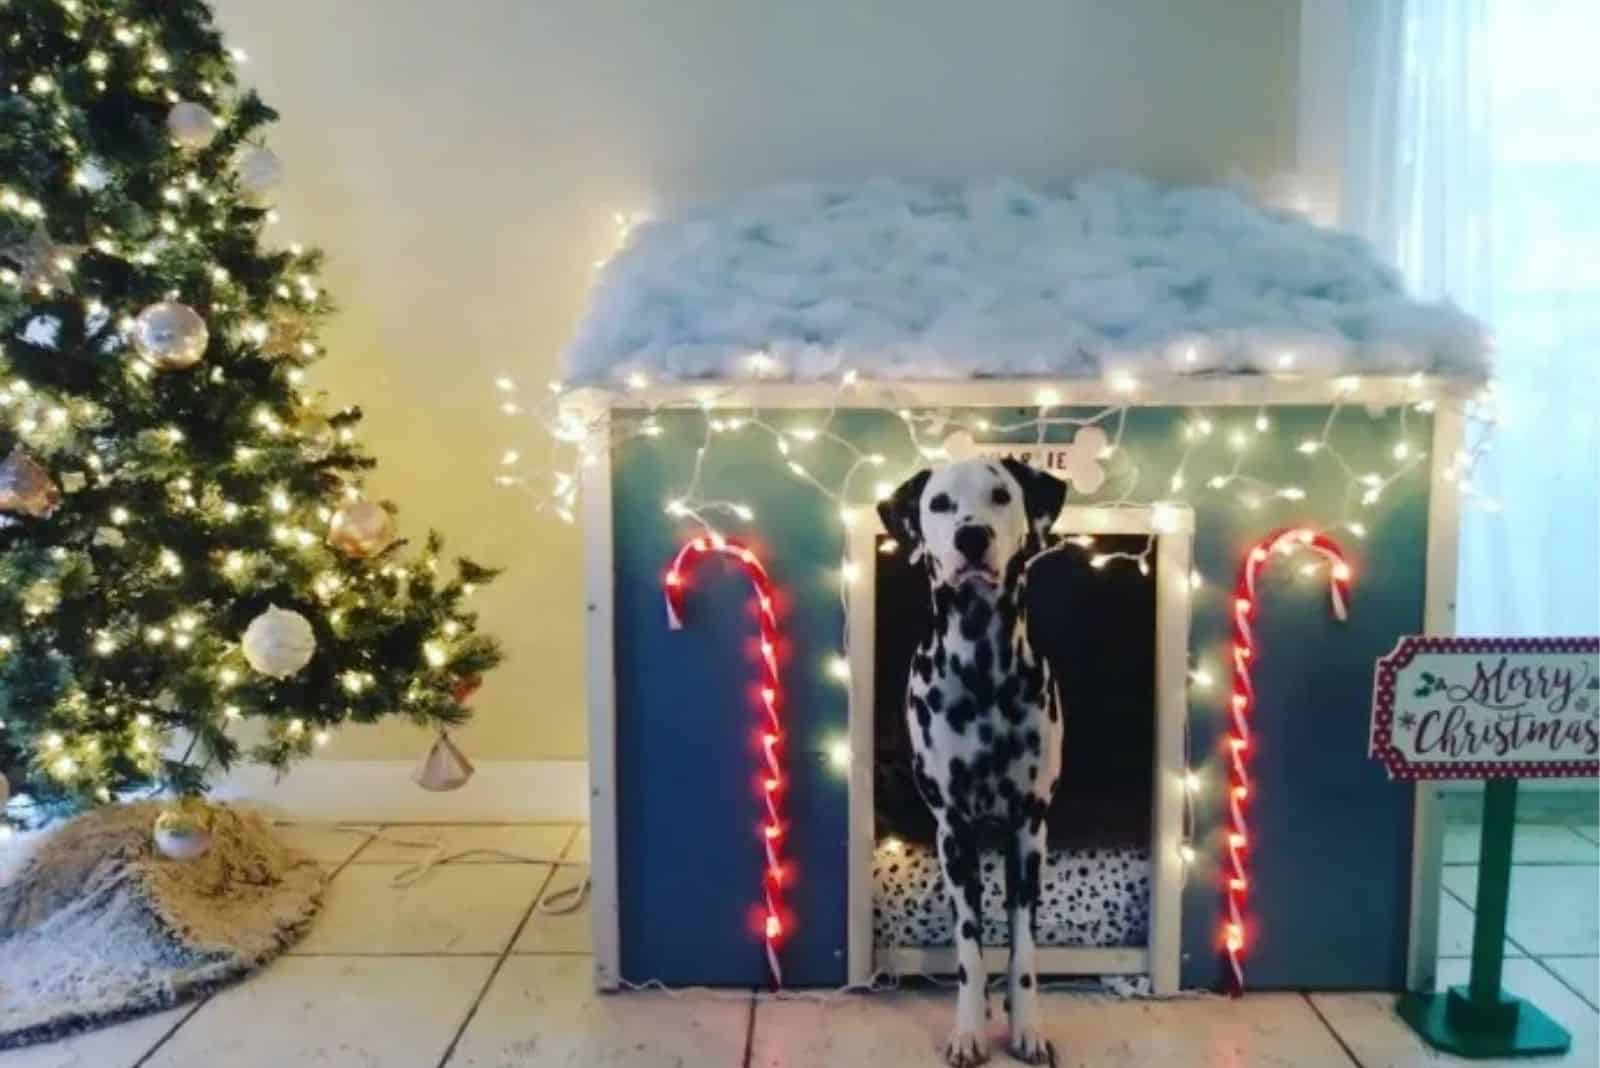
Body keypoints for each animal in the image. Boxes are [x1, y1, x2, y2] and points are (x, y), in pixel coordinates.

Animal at [883, 457, 1068, 1068]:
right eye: (939, 504)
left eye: (1001, 496)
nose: (972, 537)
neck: (982, 672)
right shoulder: (955, 834)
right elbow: (969, 944)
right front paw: (968, 1030)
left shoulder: (1029, 833)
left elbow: (1023, 948)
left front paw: (1027, 1026)